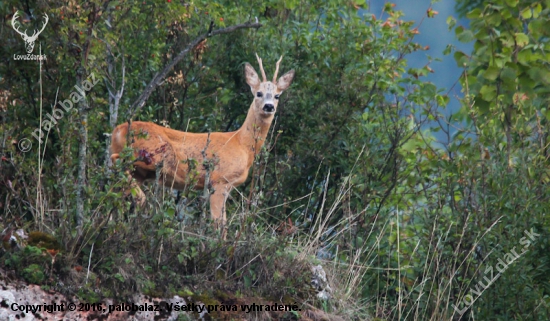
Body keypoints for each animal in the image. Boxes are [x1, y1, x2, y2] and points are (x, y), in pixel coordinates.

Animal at [109, 55, 296, 229]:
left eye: (277, 95)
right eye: (258, 93)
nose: (269, 106)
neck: (242, 144)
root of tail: (118, 130)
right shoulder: (219, 180)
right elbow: (219, 224)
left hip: (141, 171)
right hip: (153, 156)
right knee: (116, 161)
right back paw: (142, 201)